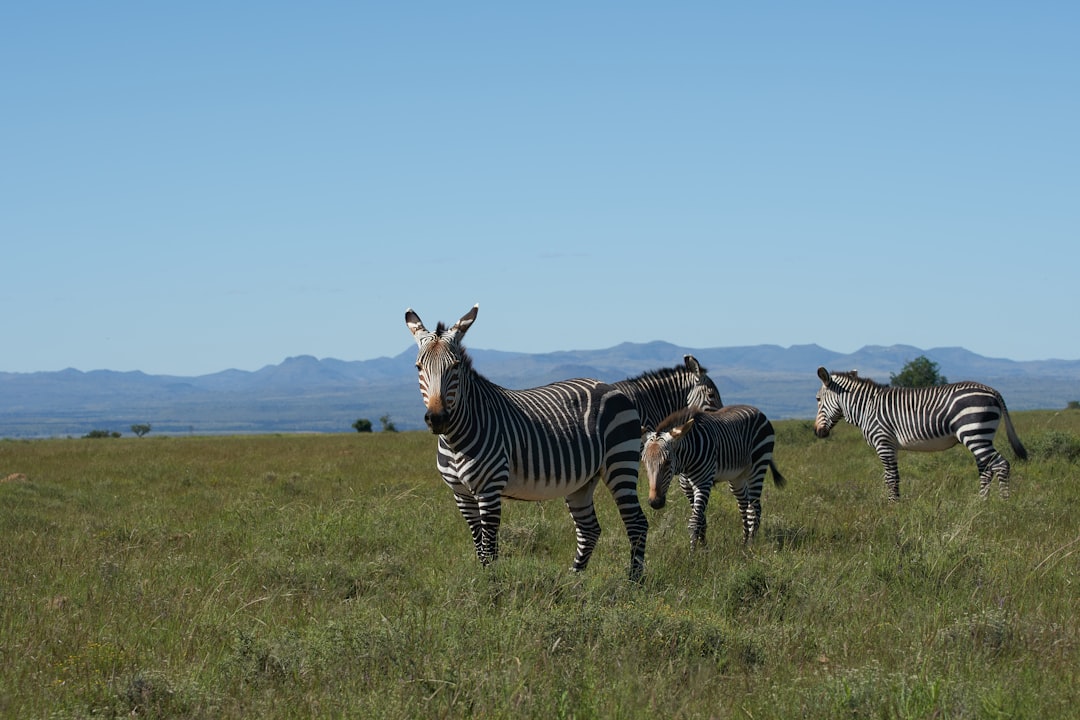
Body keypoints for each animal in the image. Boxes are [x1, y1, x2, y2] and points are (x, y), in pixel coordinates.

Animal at [401, 302, 643, 578]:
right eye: (419, 367)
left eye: (455, 366)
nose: (437, 419)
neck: (455, 440)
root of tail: (610, 386)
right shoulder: (461, 495)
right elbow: (479, 546)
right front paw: (484, 580)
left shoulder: (489, 489)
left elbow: (489, 548)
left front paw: (491, 585)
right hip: (583, 481)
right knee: (589, 529)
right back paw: (574, 580)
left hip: (620, 462)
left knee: (636, 522)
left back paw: (634, 581)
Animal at [639, 405, 786, 546]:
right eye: (644, 462)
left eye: (668, 462)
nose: (655, 503)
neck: (686, 462)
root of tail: (757, 411)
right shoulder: (686, 487)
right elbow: (701, 520)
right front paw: (704, 548)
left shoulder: (703, 483)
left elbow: (694, 522)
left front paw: (693, 553)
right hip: (737, 478)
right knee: (744, 506)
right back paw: (744, 543)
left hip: (757, 468)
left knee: (754, 510)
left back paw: (750, 546)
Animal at [812, 367, 1028, 500]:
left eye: (817, 399)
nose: (817, 432)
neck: (866, 407)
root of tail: (992, 391)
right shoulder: (891, 446)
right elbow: (894, 476)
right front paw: (896, 504)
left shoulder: (883, 442)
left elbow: (890, 477)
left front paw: (892, 507)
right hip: (980, 436)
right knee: (986, 469)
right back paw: (981, 504)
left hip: (975, 433)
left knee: (1001, 465)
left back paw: (1003, 503)